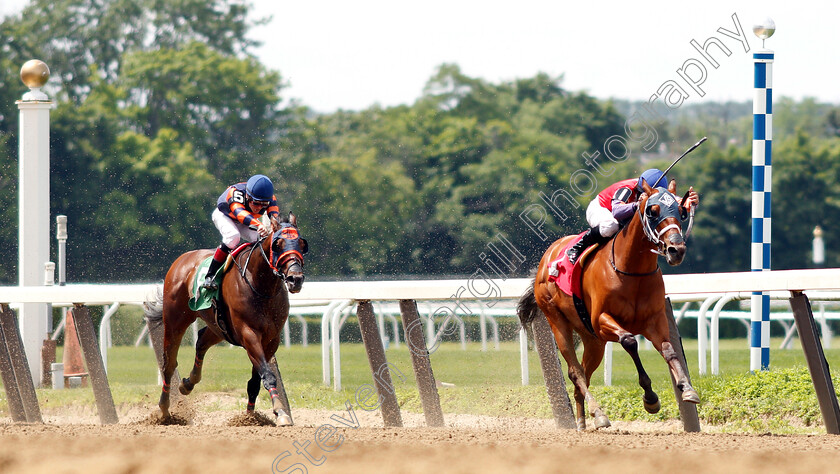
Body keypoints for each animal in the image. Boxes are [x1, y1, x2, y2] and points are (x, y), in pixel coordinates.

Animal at [153, 212, 306, 426]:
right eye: (278, 244)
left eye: (301, 244)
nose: (295, 279)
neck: (261, 286)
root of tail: (182, 259)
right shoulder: (248, 333)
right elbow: (267, 374)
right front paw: (280, 411)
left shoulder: (271, 339)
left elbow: (256, 380)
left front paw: (250, 417)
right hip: (175, 320)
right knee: (169, 363)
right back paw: (165, 410)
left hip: (219, 327)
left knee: (201, 341)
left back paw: (188, 383)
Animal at [520, 178, 700, 430]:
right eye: (652, 211)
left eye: (680, 211)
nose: (677, 250)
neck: (632, 270)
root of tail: (547, 257)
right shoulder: (602, 320)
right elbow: (630, 341)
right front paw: (650, 398)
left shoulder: (654, 321)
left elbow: (669, 350)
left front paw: (687, 389)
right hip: (557, 321)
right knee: (575, 372)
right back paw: (599, 413)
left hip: (593, 340)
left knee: (583, 374)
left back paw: (583, 421)